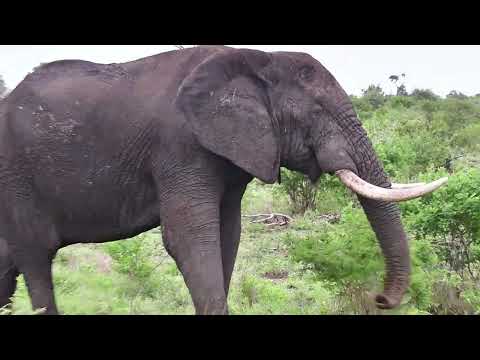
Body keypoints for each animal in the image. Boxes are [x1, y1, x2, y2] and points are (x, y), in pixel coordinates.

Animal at [0, 45, 446, 316]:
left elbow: (226, 235)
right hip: (17, 180)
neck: (258, 60)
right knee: (36, 257)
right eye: (317, 111)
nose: (381, 298)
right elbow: (189, 238)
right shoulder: (179, 146)